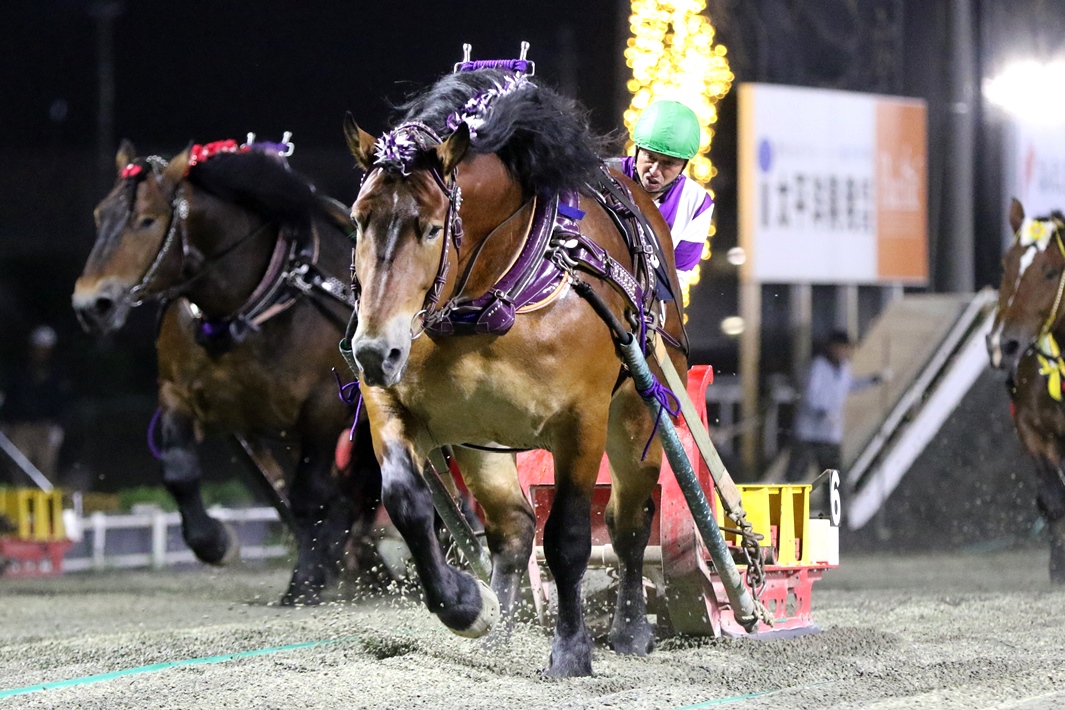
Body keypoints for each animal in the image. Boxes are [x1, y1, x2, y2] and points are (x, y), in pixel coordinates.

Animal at [70, 140, 381, 604]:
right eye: (98, 215)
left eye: (147, 220)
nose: (92, 305)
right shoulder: (179, 394)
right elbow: (179, 470)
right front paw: (214, 542)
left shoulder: (323, 408)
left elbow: (310, 495)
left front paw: (306, 579)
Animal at [345, 68, 685, 677]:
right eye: (360, 220)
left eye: (432, 229)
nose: (373, 351)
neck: (491, 297)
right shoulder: (394, 406)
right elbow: (407, 501)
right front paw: (467, 606)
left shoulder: (581, 422)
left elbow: (569, 537)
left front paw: (572, 650)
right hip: (480, 440)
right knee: (512, 528)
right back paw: (498, 633)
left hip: (636, 417)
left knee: (627, 523)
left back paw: (630, 629)